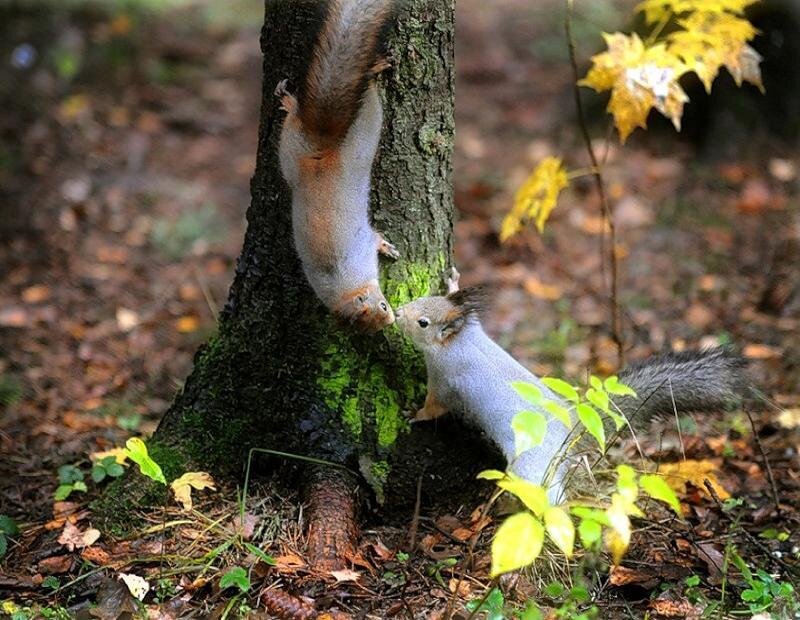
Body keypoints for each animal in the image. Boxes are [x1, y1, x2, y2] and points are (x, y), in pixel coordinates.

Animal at [275, 0, 399, 333]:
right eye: (381, 311)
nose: (393, 318)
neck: (346, 286)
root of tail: (319, 150)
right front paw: (386, 245)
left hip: (300, 146)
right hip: (354, 139)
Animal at [396, 269, 746, 501]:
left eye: (423, 323)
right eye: (423, 297)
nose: (397, 312)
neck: (460, 340)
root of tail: (570, 432)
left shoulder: (443, 376)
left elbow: (435, 406)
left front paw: (413, 415)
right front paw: (453, 280)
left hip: (533, 468)